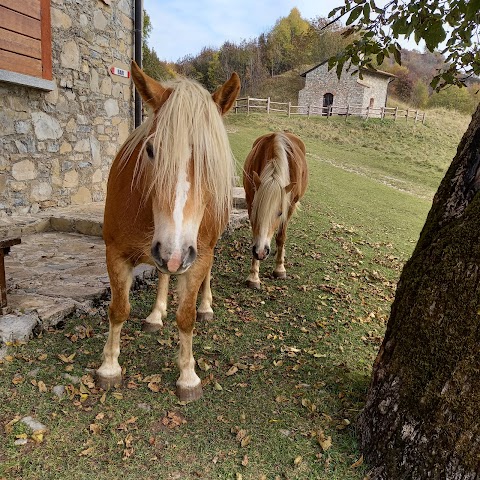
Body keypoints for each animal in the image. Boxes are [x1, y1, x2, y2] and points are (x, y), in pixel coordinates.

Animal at [97, 62, 240, 404]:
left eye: (212, 159)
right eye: (150, 149)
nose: (173, 254)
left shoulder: (197, 255)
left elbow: (186, 317)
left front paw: (188, 376)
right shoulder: (116, 253)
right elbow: (118, 310)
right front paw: (109, 367)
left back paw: (206, 306)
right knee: (163, 275)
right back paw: (155, 314)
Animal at [244, 131, 308, 288]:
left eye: (279, 213)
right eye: (255, 209)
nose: (261, 252)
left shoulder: (289, 206)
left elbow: (281, 237)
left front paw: (280, 268)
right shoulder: (249, 200)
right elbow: (256, 235)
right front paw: (254, 276)